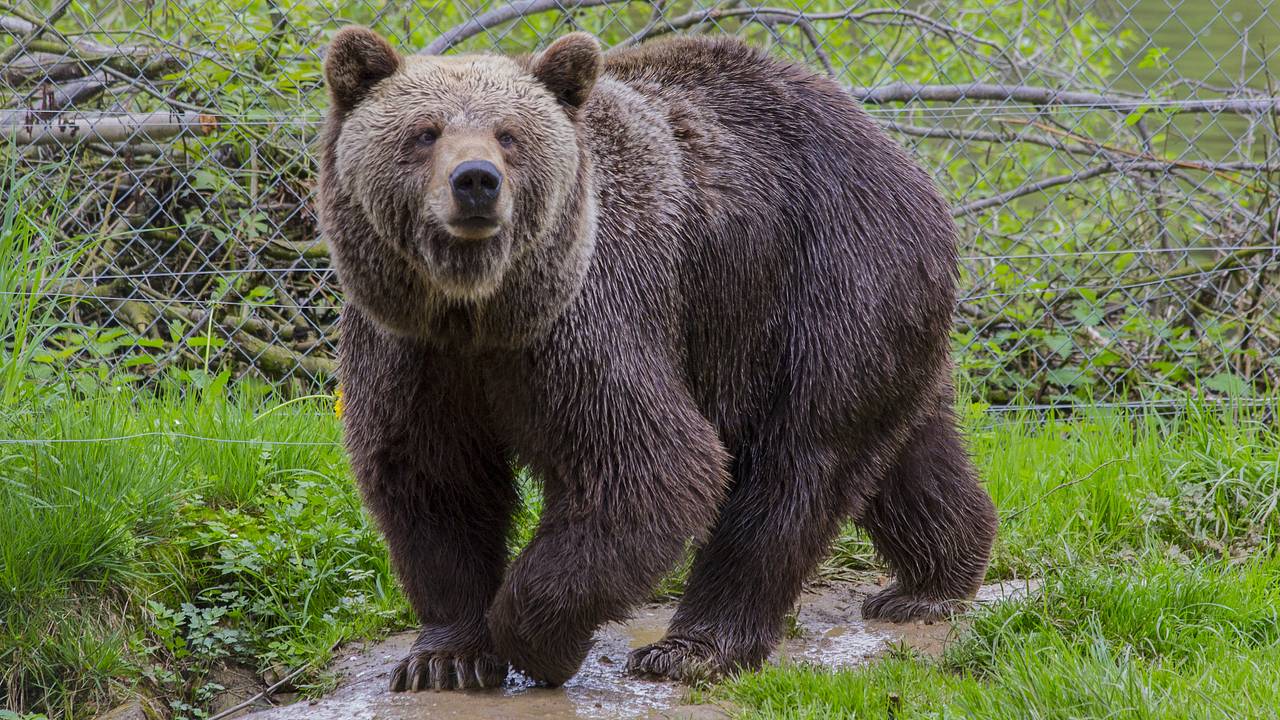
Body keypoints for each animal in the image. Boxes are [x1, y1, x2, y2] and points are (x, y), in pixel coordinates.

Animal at [319, 26, 998, 691]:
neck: (480, 310)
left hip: (823, 280)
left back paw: (694, 647)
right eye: (425, 131)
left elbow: (649, 467)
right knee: (909, 448)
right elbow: (434, 481)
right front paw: (445, 657)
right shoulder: (411, 349)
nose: (476, 181)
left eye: (509, 135)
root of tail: (899, 154)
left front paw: (538, 642)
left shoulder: (591, 319)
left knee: (798, 460)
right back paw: (933, 581)